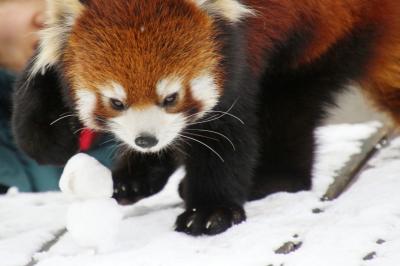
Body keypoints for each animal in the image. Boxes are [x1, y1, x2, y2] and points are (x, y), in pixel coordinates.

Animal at [10, 0, 400, 236]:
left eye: (171, 97)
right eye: (116, 102)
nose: (146, 140)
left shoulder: (236, 51)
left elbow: (224, 135)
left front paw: (210, 210)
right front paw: (51, 134)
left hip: (326, 36)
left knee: (289, 108)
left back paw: (275, 178)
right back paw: (136, 178)